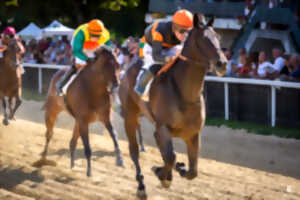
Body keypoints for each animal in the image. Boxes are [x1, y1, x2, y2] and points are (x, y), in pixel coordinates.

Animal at [40, 45, 124, 177]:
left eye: (118, 65)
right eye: (106, 65)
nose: (116, 85)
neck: (94, 91)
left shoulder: (105, 117)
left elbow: (114, 135)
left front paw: (119, 159)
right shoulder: (83, 121)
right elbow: (87, 147)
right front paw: (89, 171)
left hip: (77, 121)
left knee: (72, 142)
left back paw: (72, 165)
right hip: (52, 111)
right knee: (49, 134)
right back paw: (43, 157)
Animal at [118, 14, 226, 199]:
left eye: (218, 37)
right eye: (204, 39)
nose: (222, 64)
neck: (185, 94)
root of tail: (129, 67)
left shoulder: (193, 134)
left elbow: (193, 171)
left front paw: (178, 170)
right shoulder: (163, 128)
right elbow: (170, 156)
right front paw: (162, 174)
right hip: (130, 117)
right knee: (134, 151)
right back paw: (141, 186)